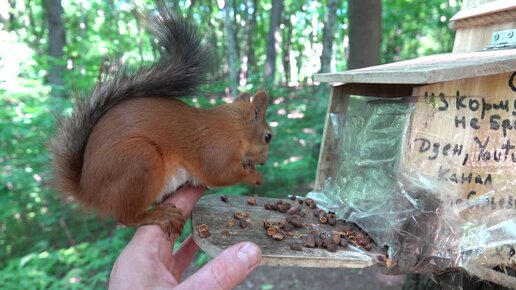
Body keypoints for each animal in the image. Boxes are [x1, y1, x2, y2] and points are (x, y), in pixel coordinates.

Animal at [50, 9, 272, 237]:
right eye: (268, 136)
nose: (264, 161)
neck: (234, 127)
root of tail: (88, 192)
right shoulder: (217, 147)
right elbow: (219, 173)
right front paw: (255, 176)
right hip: (139, 160)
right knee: (126, 217)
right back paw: (159, 215)